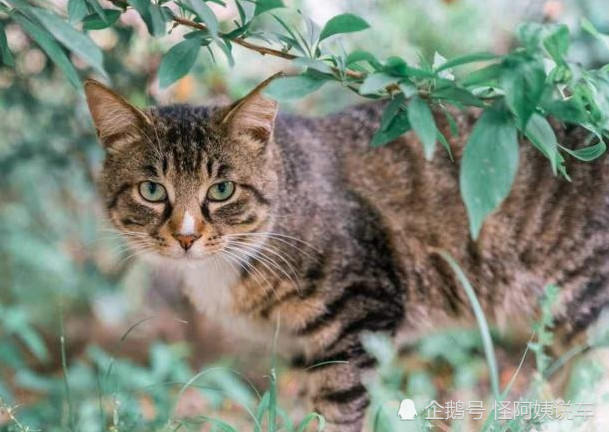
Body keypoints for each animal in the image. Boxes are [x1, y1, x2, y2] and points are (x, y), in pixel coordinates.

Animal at [84, 77, 608, 432]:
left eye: (222, 189)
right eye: (153, 190)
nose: (187, 236)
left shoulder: (360, 311)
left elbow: (338, 410)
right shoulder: (301, 347)